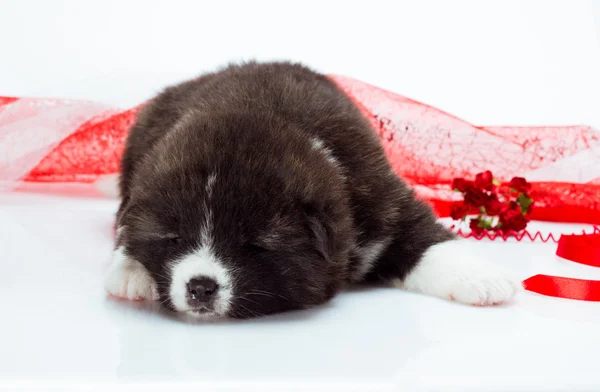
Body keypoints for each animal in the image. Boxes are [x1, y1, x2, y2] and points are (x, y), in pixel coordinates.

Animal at [103, 60, 520, 318]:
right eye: (172, 238)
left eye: (254, 245)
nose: (200, 287)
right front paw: (131, 269)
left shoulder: (385, 203)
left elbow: (424, 239)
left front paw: (481, 277)